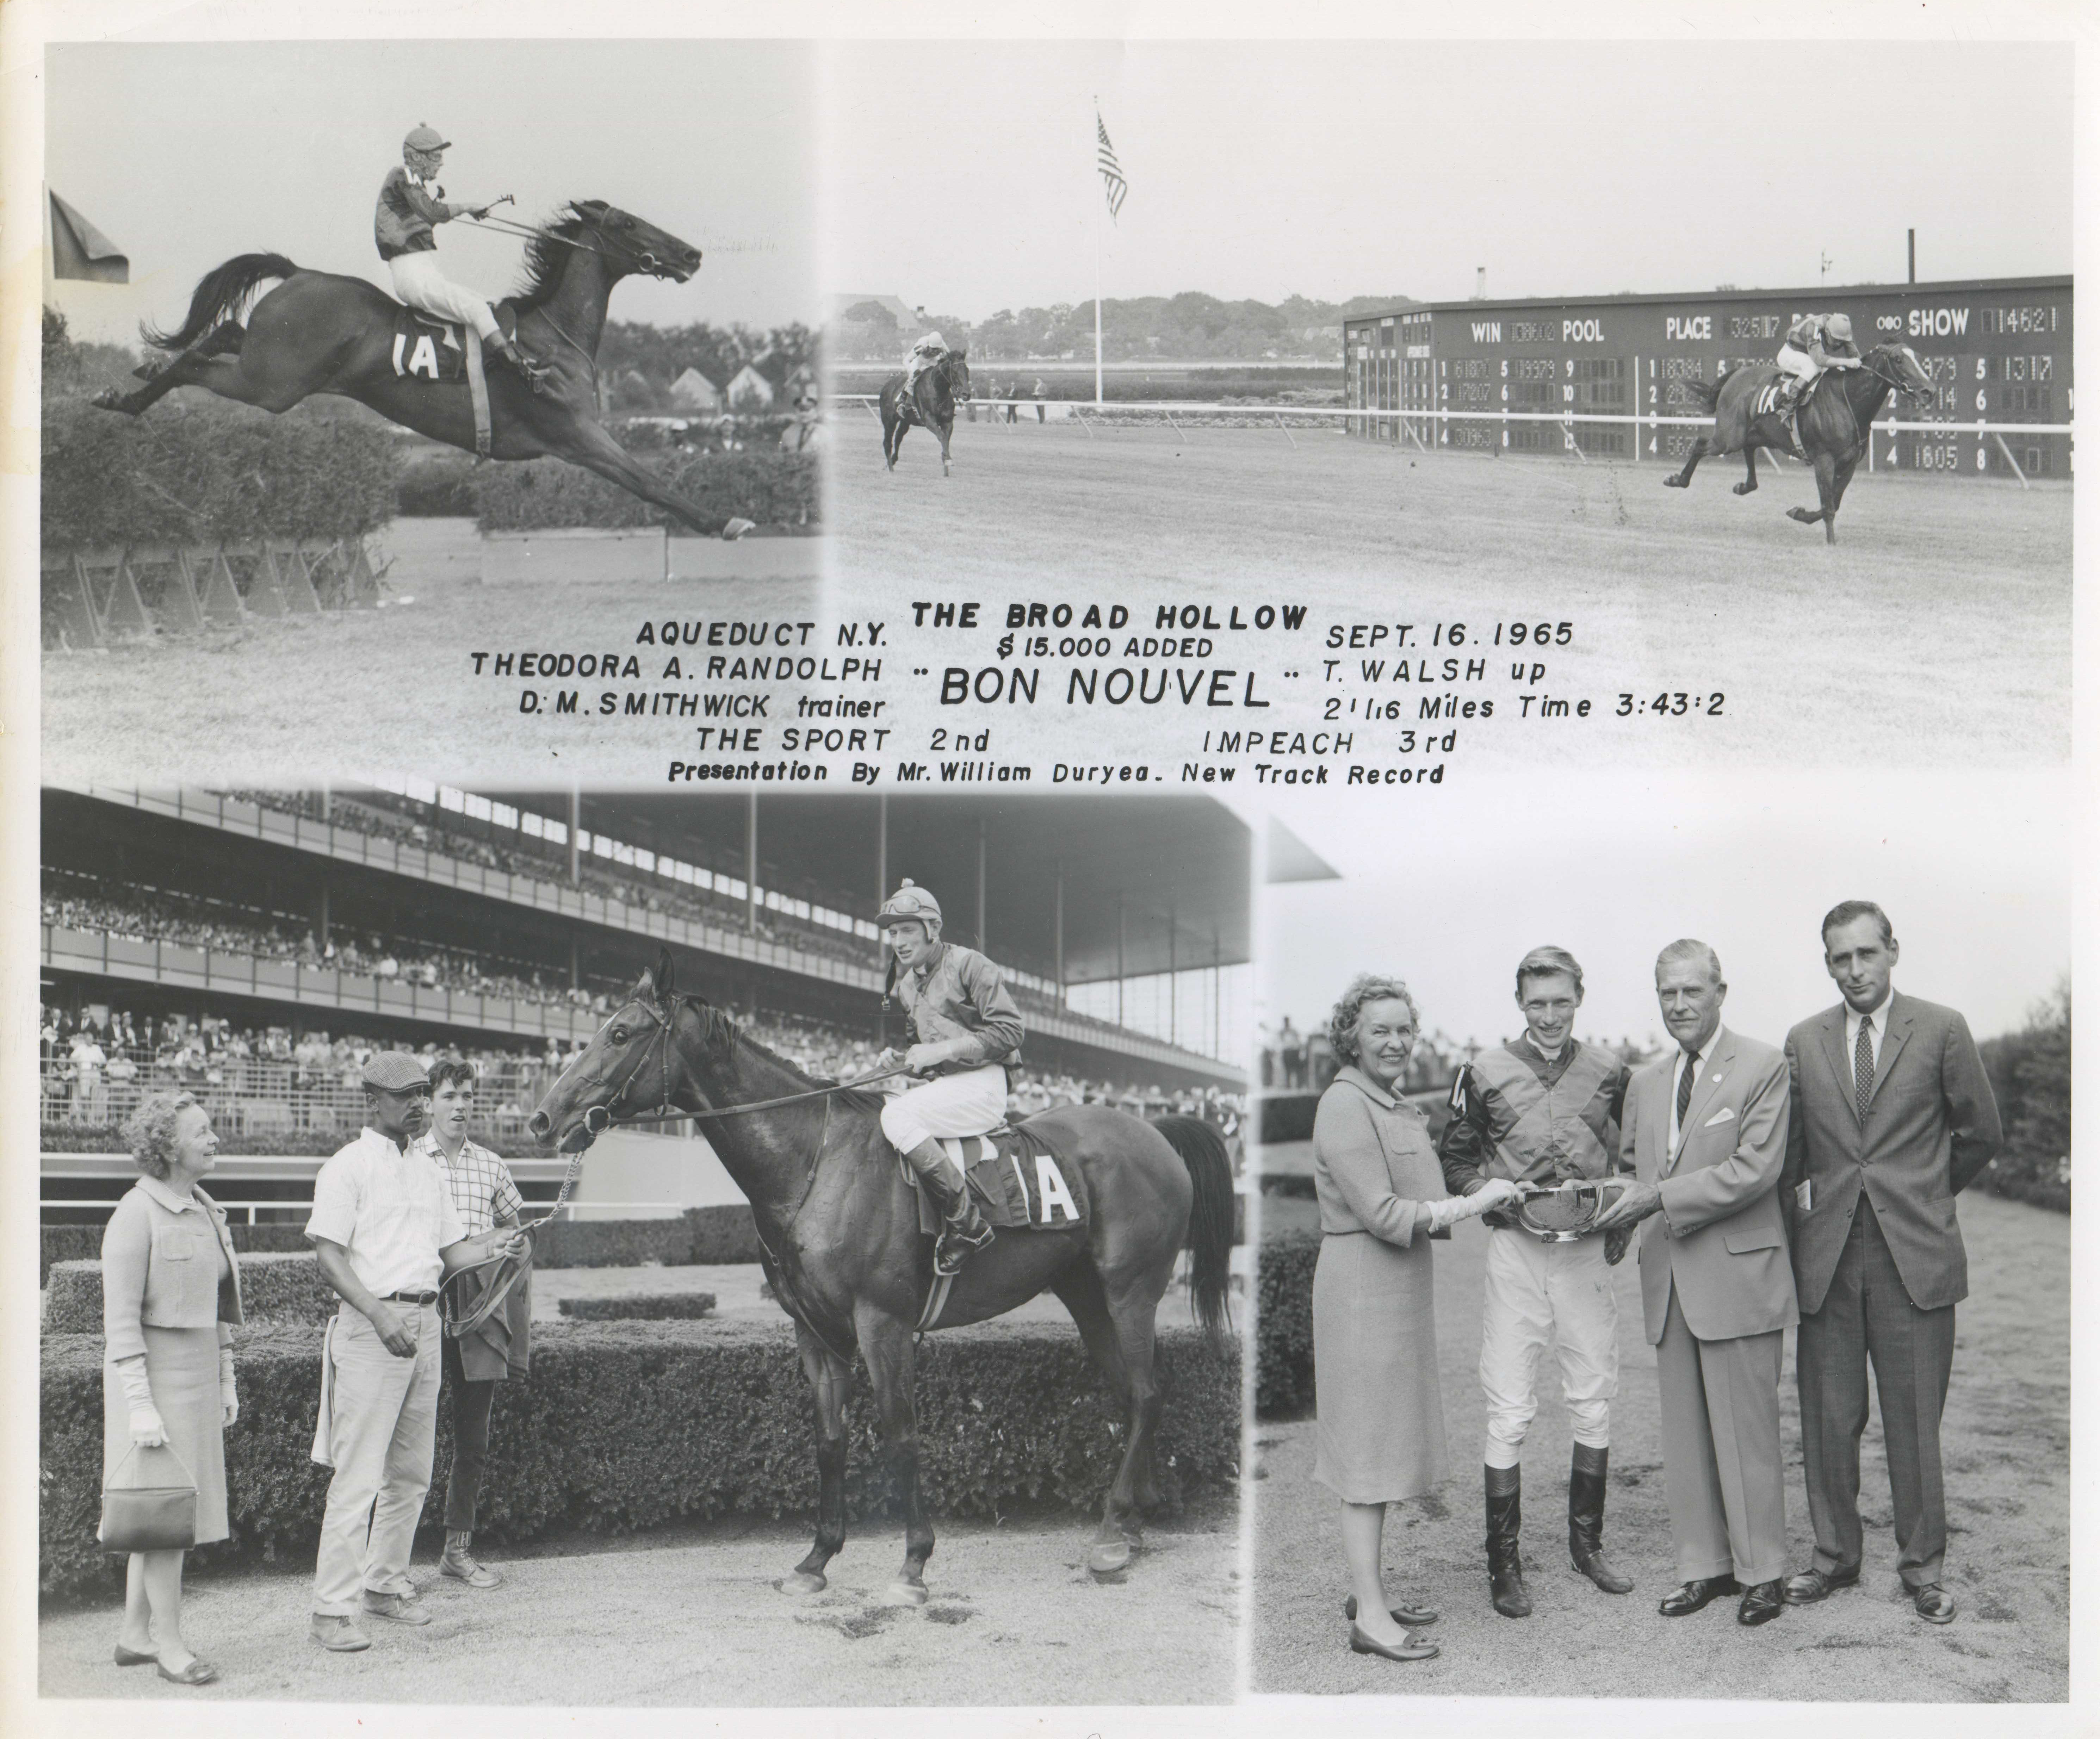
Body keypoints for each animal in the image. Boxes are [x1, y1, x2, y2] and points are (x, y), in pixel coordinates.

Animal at [100, 201, 756, 538]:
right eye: (625, 223)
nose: (691, 254)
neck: (551, 337)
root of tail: (299, 272)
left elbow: (648, 480)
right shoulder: (578, 435)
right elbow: (649, 481)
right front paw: (725, 520)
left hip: (269, 363)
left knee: (223, 335)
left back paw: (136, 383)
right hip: (272, 386)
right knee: (198, 360)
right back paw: (125, 397)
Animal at [533, 949, 1235, 1604]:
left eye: (619, 1033)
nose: (543, 1118)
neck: (814, 1162)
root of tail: (1154, 1128)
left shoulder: (882, 1323)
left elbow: (900, 1437)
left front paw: (914, 1564)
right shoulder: (815, 1332)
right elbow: (829, 1440)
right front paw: (817, 1558)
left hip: (1131, 1289)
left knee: (1146, 1392)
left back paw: (1113, 1529)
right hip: (1086, 1296)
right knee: (1132, 1393)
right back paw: (1134, 1523)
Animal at [873, 348, 970, 472]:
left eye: (967, 370)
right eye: (955, 372)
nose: (967, 394)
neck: (938, 390)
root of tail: (887, 385)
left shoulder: (948, 422)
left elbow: (946, 439)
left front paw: (945, 460)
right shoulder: (929, 420)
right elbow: (942, 437)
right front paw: (948, 460)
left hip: (905, 421)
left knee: (899, 437)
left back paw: (893, 460)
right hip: (889, 421)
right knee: (887, 443)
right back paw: (891, 468)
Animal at [1655, 344, 1932, 546]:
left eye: (1919, 358)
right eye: (1898, 359)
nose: (1929, 391)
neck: (1848, 402)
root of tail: (1738, 373)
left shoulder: (1850, 464)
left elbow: (1833, 503)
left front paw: (1798, 513)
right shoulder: (1824, 460)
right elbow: (1828, 505)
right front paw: (1831, 543)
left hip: (1755, 434)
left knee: (1748, 453)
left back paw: (1743, 486)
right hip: (1729, 437)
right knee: (1700, 444)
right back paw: (1677, 480)